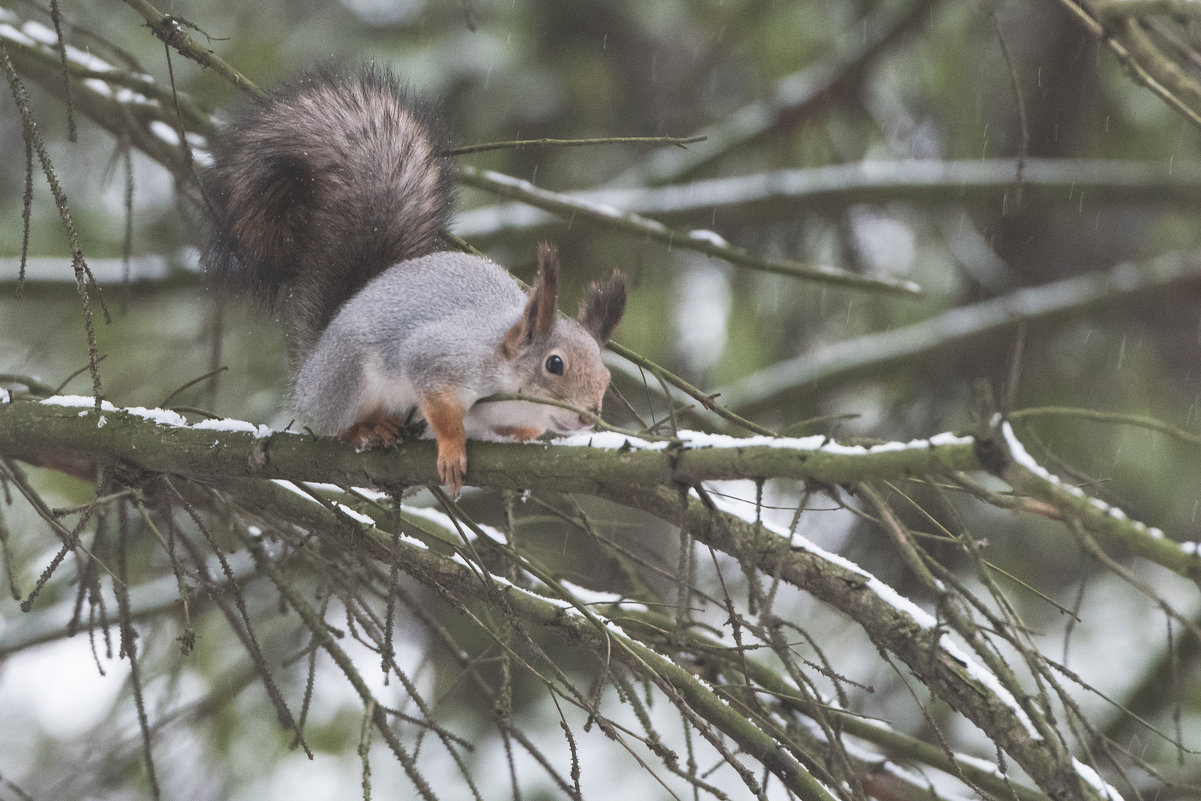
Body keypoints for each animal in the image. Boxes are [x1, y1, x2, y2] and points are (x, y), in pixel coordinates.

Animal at [202, 67, 629, 494]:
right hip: (347, 380)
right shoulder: (441, 358)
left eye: (606, 375)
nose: (589, 417)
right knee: (334, 425)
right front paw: (452, 449)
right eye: (554, 364)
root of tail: (313, 361)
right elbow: (437, 402)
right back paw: (367, 429)